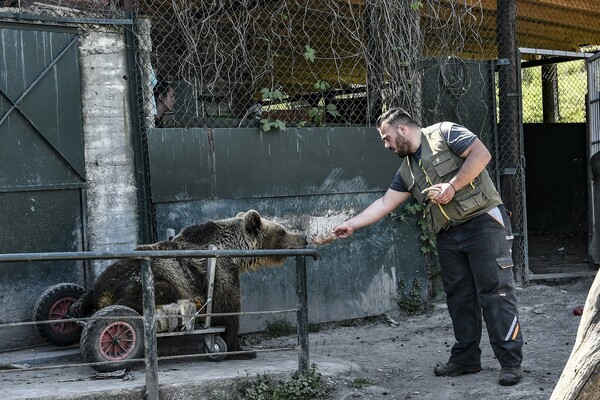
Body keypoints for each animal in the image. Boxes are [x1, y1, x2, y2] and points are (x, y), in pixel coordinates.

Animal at [68, 211, 308, 354]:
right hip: (145, 280)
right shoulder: (221, 273)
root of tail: (102, 292)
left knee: (83, 297)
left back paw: (75, 308)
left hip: (100, 283)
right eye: (282, 230)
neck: (231, 251)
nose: (303, 237)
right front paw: (237, 347)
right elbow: (229, 311)